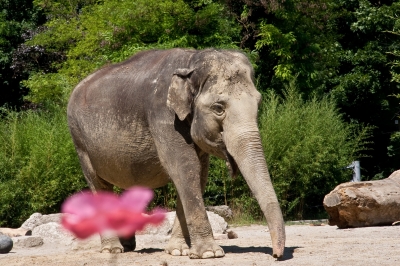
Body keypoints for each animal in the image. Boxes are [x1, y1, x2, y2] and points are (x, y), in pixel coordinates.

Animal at [66, 48, 284, 260]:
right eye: (218, 108)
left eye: (259, 104)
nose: (276, 255)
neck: (191, 60)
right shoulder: (163, 115)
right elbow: (185, 167)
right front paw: (209, 253)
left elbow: (198, 174)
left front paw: (179, 251)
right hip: (80, 142)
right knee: (98, 183)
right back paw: (113, 250)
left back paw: (128, 247)